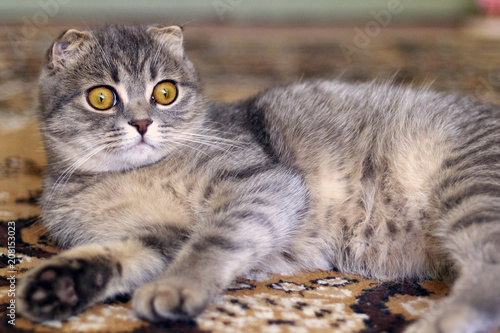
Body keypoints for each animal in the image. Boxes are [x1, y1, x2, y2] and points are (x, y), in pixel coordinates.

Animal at [16, 24, 500, 330]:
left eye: (165, 93)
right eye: (102, 97)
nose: (141, 123)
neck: (130, 176)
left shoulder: (261, 183)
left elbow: (214, 240)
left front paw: (177, 285)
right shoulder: (156, 237)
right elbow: (118, 254)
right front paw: (58, 285)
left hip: (471, 189)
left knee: (488, 280)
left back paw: (438, 322)